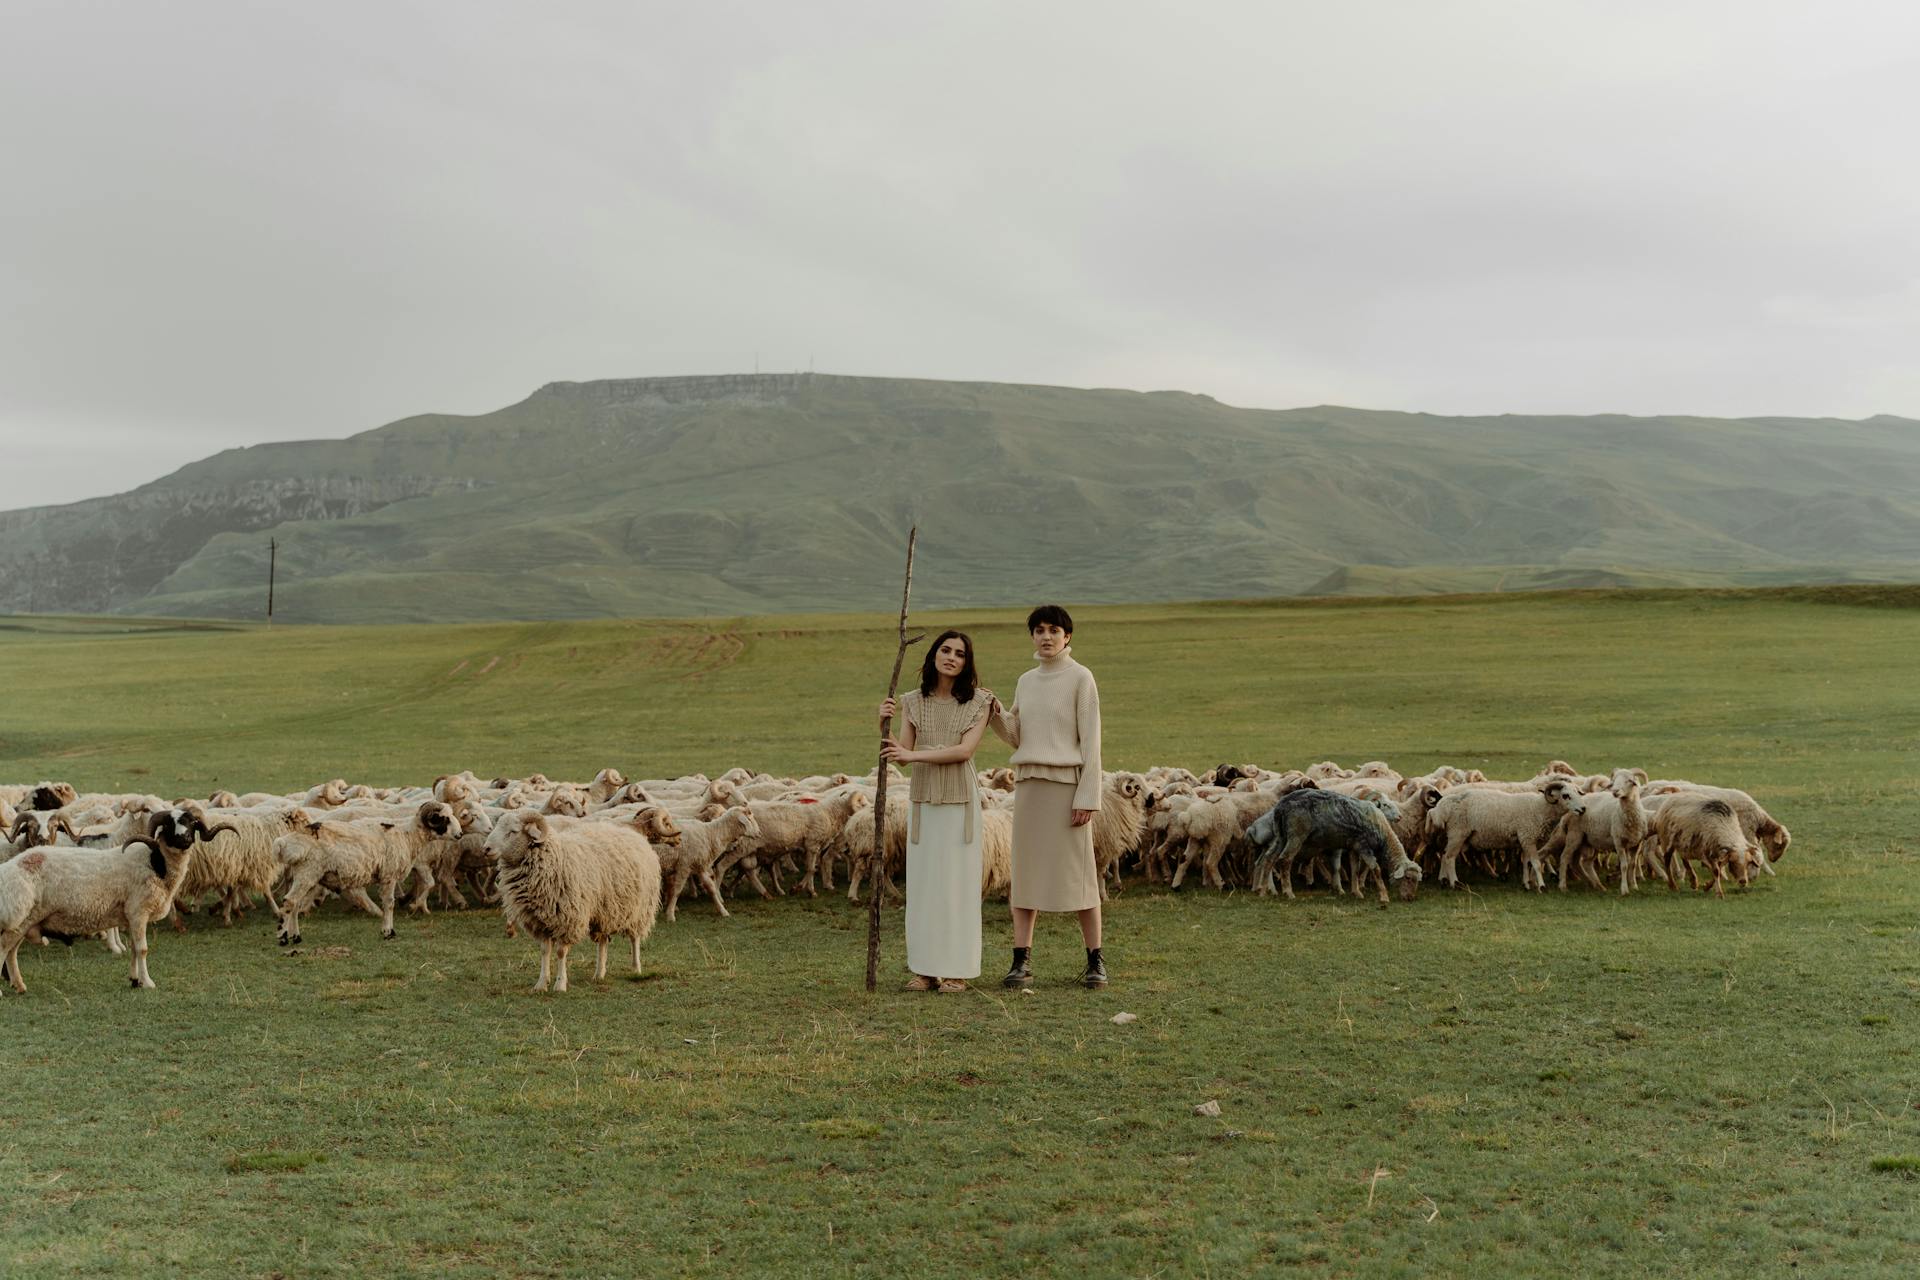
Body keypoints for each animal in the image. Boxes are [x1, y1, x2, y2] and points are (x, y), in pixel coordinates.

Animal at [272, 805, 458, 948]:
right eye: (443, 818)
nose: (459, 834)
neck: (408, 836)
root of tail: (285, 843)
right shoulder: (389, 875)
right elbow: (389, 904)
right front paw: (388, 932)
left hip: (305, 874)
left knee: (295, 904)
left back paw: (296, 937)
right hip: (308, 873)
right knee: (289, 901)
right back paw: (282, 936)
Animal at [483, 809, 664, 990]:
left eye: (513, 832)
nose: (486, 848)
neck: (553, 859)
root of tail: (634, 834)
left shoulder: (567, 918)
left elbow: (560, 952)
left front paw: (560, 984)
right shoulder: (540, 921)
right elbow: (544, 951)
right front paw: (541, 983)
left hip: (640, 908)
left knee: (635, 938)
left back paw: (636, 968)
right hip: (605, 910)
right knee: (603, 942)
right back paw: (599, 973)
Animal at [1251, 786, 1420, 905]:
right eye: (1408, 878)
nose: (1410, 898)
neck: (1383, 832)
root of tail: (1281, 806)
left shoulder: (1354, 848)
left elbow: (1354, 870)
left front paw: (1356, 892)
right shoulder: (1364, 846)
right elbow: (1376, 869)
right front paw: (1384, 897)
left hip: (1281, 836)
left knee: (1268, 858)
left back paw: (1263, 891)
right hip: (1296, 836)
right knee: (1285, 859)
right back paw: (1288, 892)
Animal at [1428, 782, 1589, 890]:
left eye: (1577, 793)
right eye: (1565, 796)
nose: (1583, 809)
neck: (1540, 808)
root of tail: (1443, 806)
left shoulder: (1525, 840)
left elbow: (1526, 862)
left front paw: (1527, 884)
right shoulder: (1528, 837)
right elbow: (1536, 863)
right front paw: (1541, 886)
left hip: (1460, 837)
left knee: (1444, 854)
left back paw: (1443, 880)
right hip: (1458, 833)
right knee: (1449, 857)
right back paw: (1455, 883)